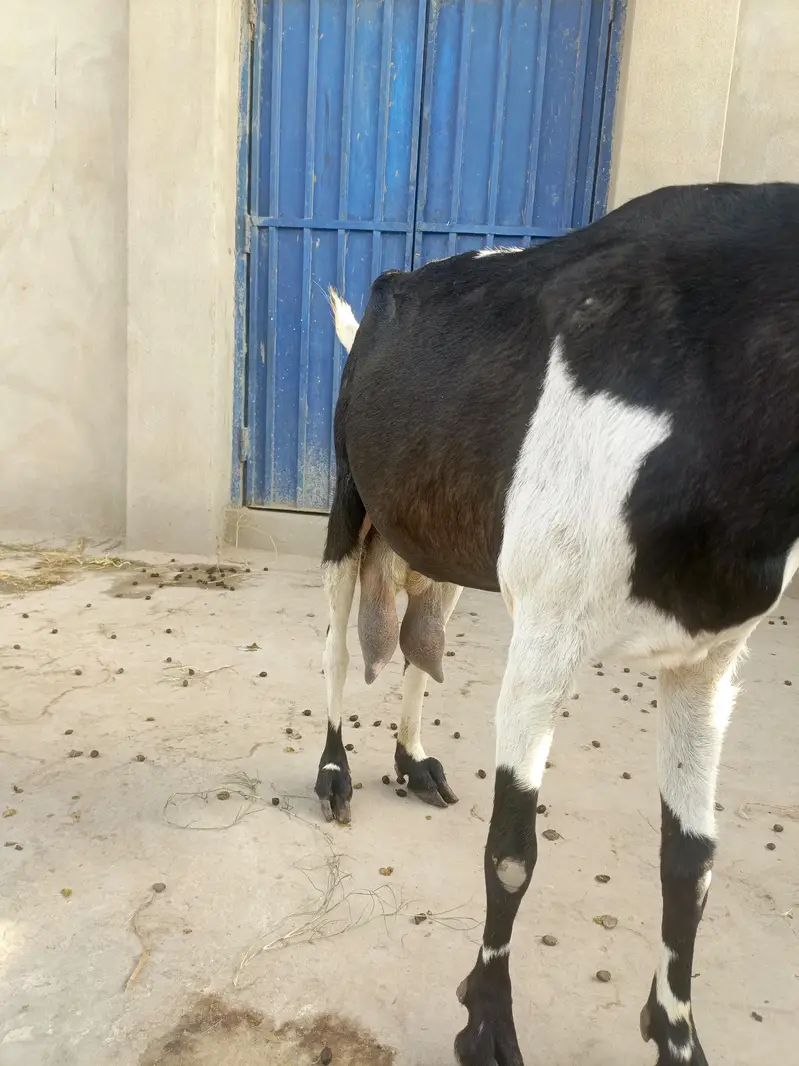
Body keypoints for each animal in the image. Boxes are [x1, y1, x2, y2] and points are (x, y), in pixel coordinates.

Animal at [314, 182, 799, 1066]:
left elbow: (691, 862)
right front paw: (484, 1024)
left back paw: (411, 760)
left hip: (446, 542)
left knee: (418, 643)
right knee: (336, 646)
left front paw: (674, 1033)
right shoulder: (545, 633)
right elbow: (511, 850)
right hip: (348, 500)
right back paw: (333, 771)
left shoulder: (709, 658)